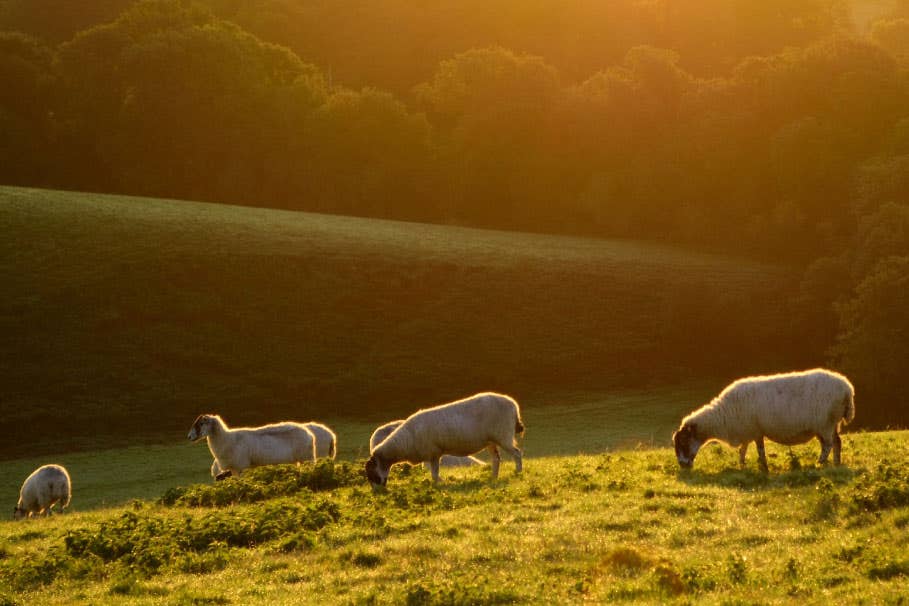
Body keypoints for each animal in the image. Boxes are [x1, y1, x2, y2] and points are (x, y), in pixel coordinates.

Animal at [187, 416, 316, 482]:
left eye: (201, 423)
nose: (189, 437)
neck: (227, 438)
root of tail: (309, 434)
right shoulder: (234, 468)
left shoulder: (239, 467)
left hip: (307, 458)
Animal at [362, 394, 520, 490]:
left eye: (371, 472)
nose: (377, 492)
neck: (405, 440)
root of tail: (513, 404)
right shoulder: (432, 455)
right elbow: (433, 472)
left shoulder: (433, 453)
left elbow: (434, 473)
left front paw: (438, 485)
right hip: (492, 440)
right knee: (496, 459)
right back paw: (493, 478)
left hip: (503, 435)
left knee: (517, 453)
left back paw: (518, 472)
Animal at [672, 368, 856, 472]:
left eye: (683, 441)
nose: (682, 465)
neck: (723, 415)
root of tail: (847, 389)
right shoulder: (747, 430)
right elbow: (743, 450)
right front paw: (742, 466)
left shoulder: (755, 431)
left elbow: (760, 450)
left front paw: (763, 468)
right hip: (831, 423)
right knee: (837, 442)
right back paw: (836, 464)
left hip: (825, 423)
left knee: (828, 445)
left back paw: (819, 463)